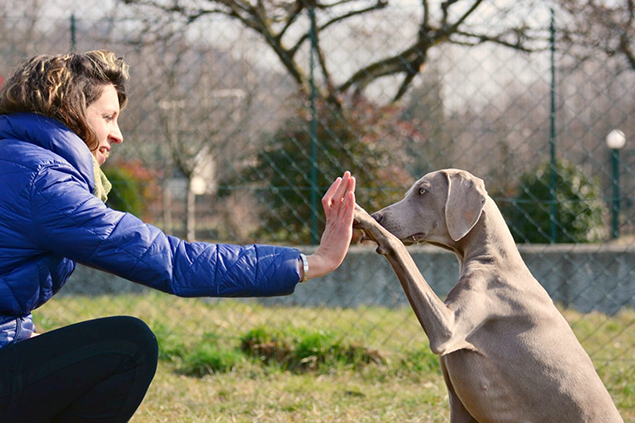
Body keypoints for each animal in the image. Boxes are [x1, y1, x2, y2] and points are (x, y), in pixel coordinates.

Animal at [356, 169, 624, 423]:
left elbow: (397, 247)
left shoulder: (450, 327)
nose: (378, 216)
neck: (494, 256)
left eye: (422, 191)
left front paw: (362, 217)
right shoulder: (459, 404)